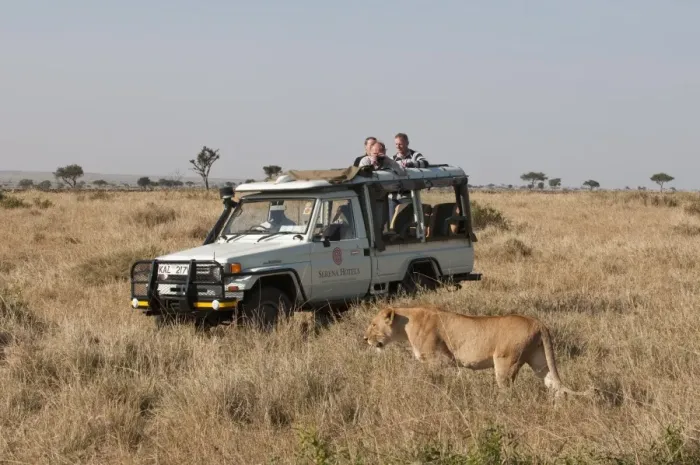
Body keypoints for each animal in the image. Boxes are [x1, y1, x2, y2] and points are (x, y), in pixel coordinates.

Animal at [363, 305, 593, 399]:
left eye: (373, 325)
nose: (365, 339)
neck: (406, 323)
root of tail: (537, 322)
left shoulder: (440, 359)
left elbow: (429, 378)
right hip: (539, 361)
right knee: (554, 384)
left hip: (505, 363)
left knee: (507, 391)